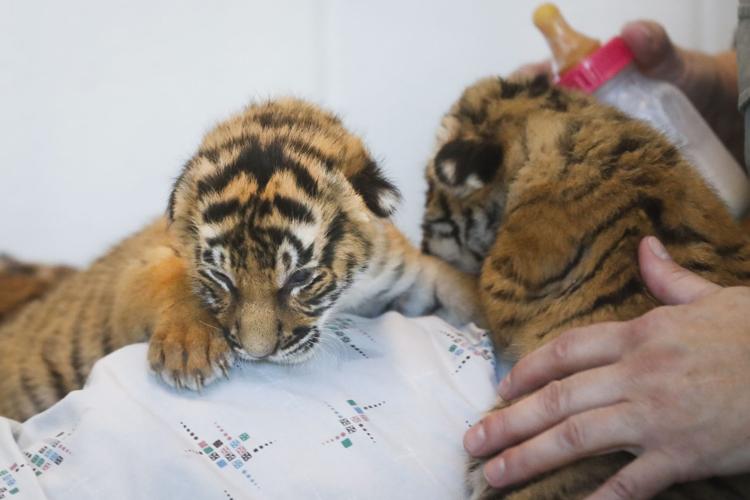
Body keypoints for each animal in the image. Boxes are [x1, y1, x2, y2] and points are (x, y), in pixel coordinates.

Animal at [0, 97, 484, 422]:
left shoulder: (405, 275)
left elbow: (458, 286)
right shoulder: (140, 270)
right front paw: (190, 348)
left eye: (300, 278)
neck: (347, 299)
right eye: (221, 279)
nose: (258, 354)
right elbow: (173, 281)